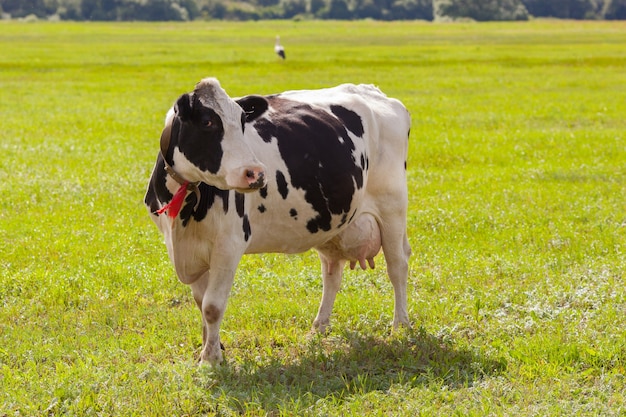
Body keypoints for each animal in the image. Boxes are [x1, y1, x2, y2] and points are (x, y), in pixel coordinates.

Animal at [144, 78, 412, 364]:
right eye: (207, 122)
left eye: (242, 120)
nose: (256, 173)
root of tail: (372, 90)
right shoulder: (188, 249)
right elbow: (199, 300)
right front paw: (210, 348)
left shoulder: (229, 244)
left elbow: (212, 306)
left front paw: (210, 360)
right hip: (333, 222)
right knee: (332, 272)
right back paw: (318, 328)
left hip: (392, 207)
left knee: (397, 266)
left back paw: (400, 326)